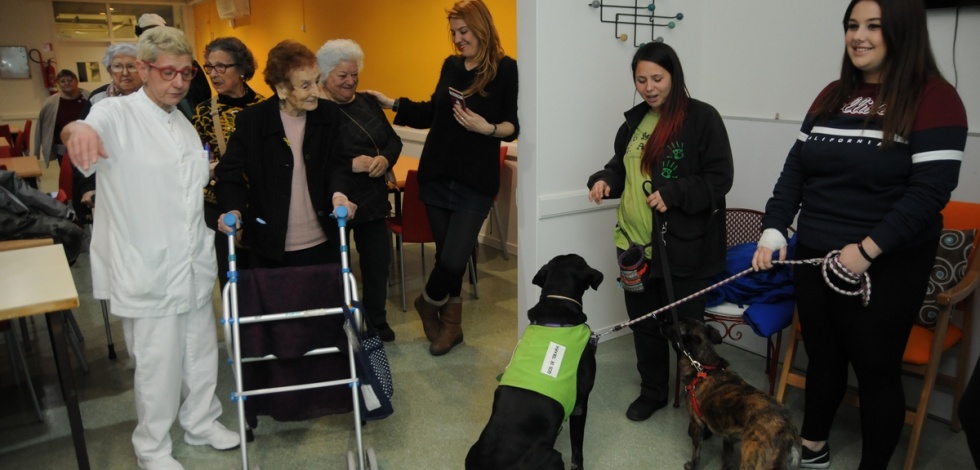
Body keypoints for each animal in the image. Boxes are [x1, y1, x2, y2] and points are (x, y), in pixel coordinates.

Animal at [668, 318, 800, 468]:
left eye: (676, 326)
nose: (663, 321)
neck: (703, 367)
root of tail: (788, 433)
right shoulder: (728, 438)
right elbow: (727, 459)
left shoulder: (697, 424)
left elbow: (696, 452)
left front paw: (692, 465)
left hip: (751, 459)